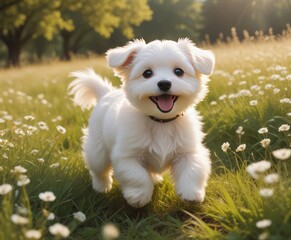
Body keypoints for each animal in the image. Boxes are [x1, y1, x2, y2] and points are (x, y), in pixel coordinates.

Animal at [68, 39, 214, 208]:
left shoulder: (188, 151)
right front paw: (139, 196)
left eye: (179, 71)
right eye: (147, 73)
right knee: (99, 170)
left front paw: (191, 193)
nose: (164, 83)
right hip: (97, 151)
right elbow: (137, 176)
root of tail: (106, 93)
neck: (161, 122)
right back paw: (101, 186)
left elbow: (193, 169)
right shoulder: (127, 156)